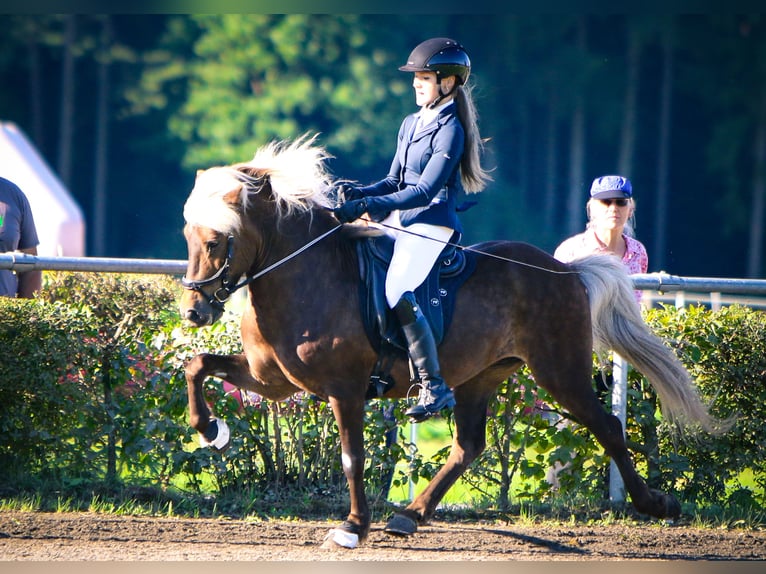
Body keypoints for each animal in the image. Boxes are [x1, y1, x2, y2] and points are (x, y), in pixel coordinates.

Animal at [177, 137, 728, 552]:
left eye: (216, 241)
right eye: (189, 236)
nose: (193, 312)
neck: (307, 274)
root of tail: (567, 270)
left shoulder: (344, 389)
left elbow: (352, 456)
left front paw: (353, 528)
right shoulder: (271, 380)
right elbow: (197, 365)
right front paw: (213, 432)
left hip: (560, 372)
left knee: (608, 427)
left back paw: (655, 504)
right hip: (479, 376)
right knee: (469, 446)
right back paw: (410, 515)